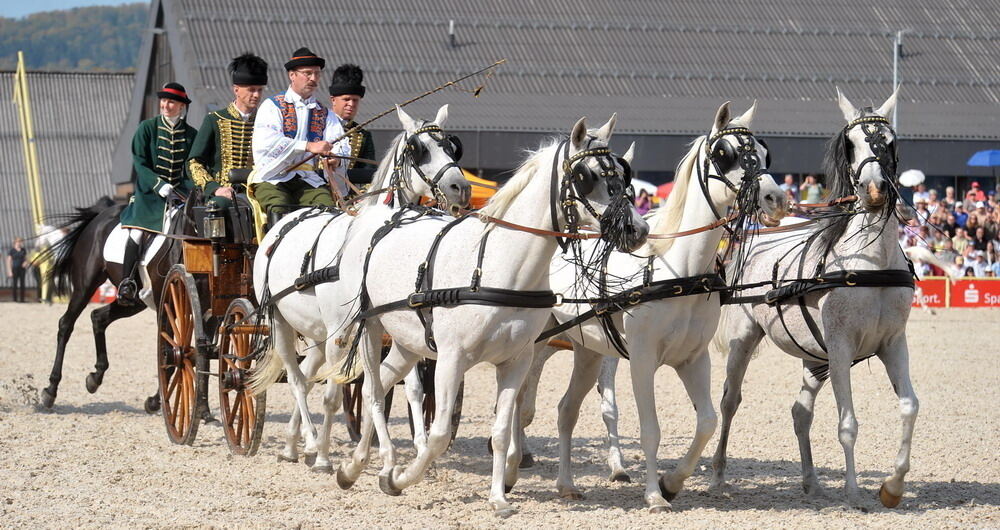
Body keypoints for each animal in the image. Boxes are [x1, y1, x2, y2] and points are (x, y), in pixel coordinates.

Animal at [248, 105, 470, 468]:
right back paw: (311, 442)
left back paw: (293, 444)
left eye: (453, 147)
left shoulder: (395, 326)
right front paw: (326, 456)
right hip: (280, 323)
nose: (460, 188)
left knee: (306, 374)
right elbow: (334, 394)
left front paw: (420, 447)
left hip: (316, 333)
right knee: (296, 380)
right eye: (418, 150)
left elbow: (411, 389)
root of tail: (281, 224)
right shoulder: (343, 332)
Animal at [334, 114, 648, 512]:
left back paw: (357, 465)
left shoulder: (516, 359)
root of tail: (385, 216)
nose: (638, 229)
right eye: (586, 175)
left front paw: (499, 497)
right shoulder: (451, 359)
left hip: (408, 340)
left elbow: (501, 429)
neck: (497, 266)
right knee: (372, 390)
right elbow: (438, 434)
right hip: (371, 328)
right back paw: (374, 463)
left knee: (386, 379)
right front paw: (400, 479)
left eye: (623, 174)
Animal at [516, 101, 788, 510]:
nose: (777, 199)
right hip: (532, 343)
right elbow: (650, 430)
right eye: (725, 154)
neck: (675, 268)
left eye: (764, 151)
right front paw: (654, 495)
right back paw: (514, 462)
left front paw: (671, 482)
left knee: (565, 410)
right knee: (518, 402)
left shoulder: (694, 359)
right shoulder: (642, 360)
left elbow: (707, 422)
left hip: (586, 350)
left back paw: (565, 483)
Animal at [708, 88, 916, 506]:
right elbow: (848, 423)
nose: (874, 191)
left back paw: (811, 481)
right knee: (729, 401)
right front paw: (853, 491)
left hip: (813, 357)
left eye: (889, 142)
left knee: (800, 412)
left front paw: (892, 486)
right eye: (850, 144)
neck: (870, 264)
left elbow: (909, 407)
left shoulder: (892, 343)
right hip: (746, 339)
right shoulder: (840, 347)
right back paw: (719, 475)